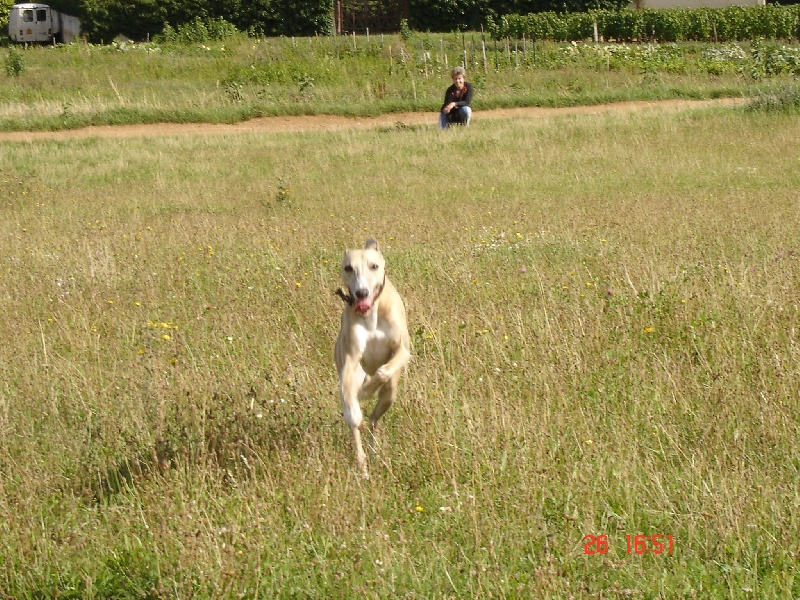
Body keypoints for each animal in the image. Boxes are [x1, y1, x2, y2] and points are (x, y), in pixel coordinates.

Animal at [334, 238, 411, 478]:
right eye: (348, 268)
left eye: (374, 266)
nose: (361, 293)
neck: (372, 314)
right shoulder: (351, 358)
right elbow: (350, 404)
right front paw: (356, 401)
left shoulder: (403, 350)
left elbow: (383, 370)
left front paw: (367, 389)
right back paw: (363, 466)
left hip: (390, 395)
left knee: (375, 419)